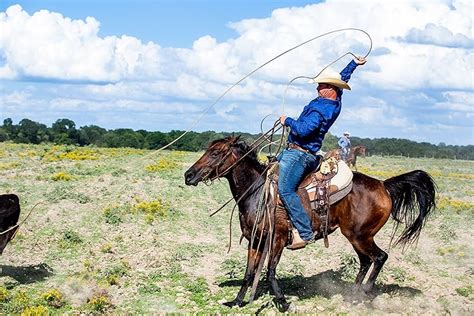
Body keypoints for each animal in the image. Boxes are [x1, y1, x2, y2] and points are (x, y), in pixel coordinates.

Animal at [183, 136, 436, 312]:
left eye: (216, 153)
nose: (188, 175)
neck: (258, 193)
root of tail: (384, 185)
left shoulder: (276, 239)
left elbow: (270, 272)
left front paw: (283, 302)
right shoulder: (255, 240)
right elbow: (249, 273)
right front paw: (236, 301)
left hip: (360, 236)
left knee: (380, 257)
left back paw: (362, 293)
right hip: (357, 237)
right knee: (366, 261)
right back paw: (352, 294)